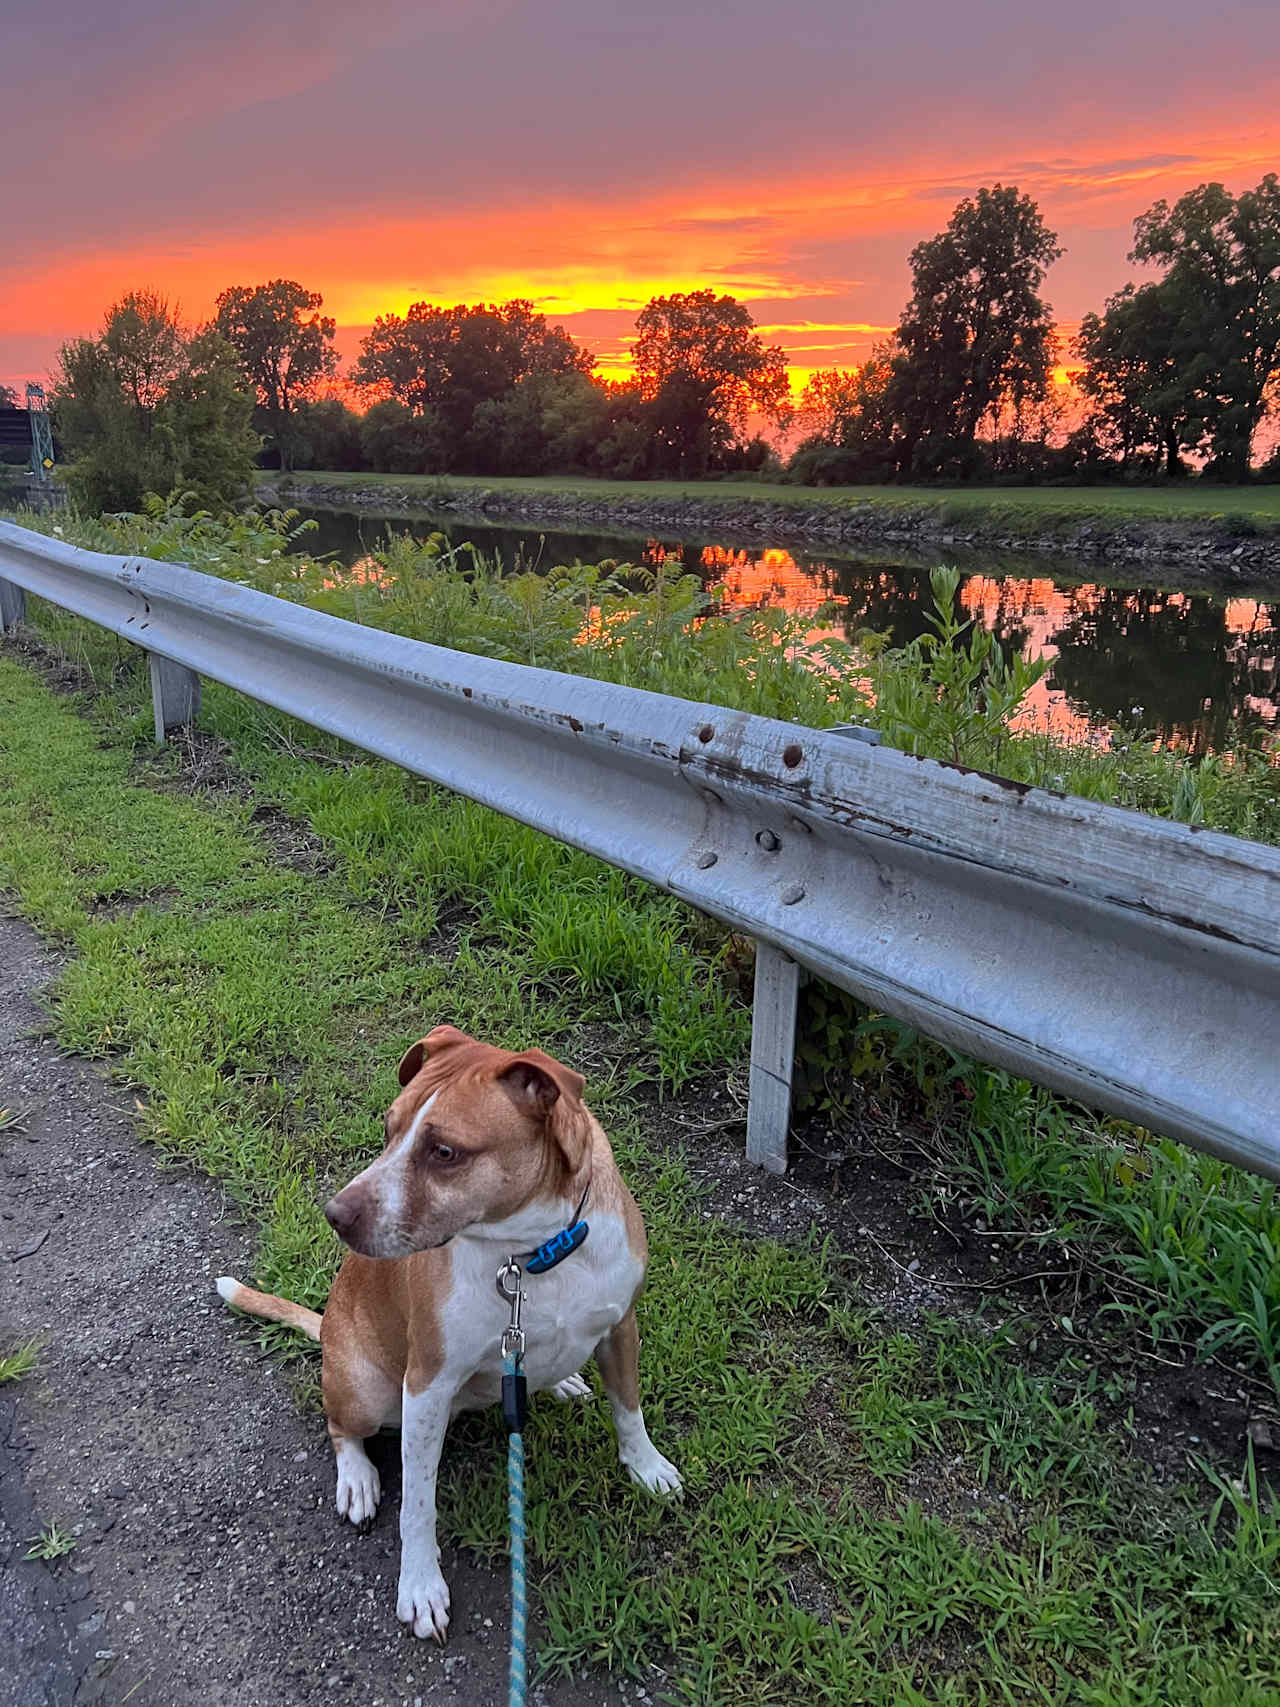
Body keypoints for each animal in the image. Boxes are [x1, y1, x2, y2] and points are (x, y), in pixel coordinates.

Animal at [218, 1024, 682, 1638]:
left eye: (444, 1153)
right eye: (388, 1129)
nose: (335, 1215)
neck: (534, 1254)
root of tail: (328, 1326)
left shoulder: (620, 1325)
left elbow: (629, 1409)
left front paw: (647, 1468)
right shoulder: (427, 1385)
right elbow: (418, 1503)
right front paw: (419, 1586)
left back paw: (561, 1380)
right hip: (368, 1393)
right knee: (340, 1427)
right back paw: (357, 1479)